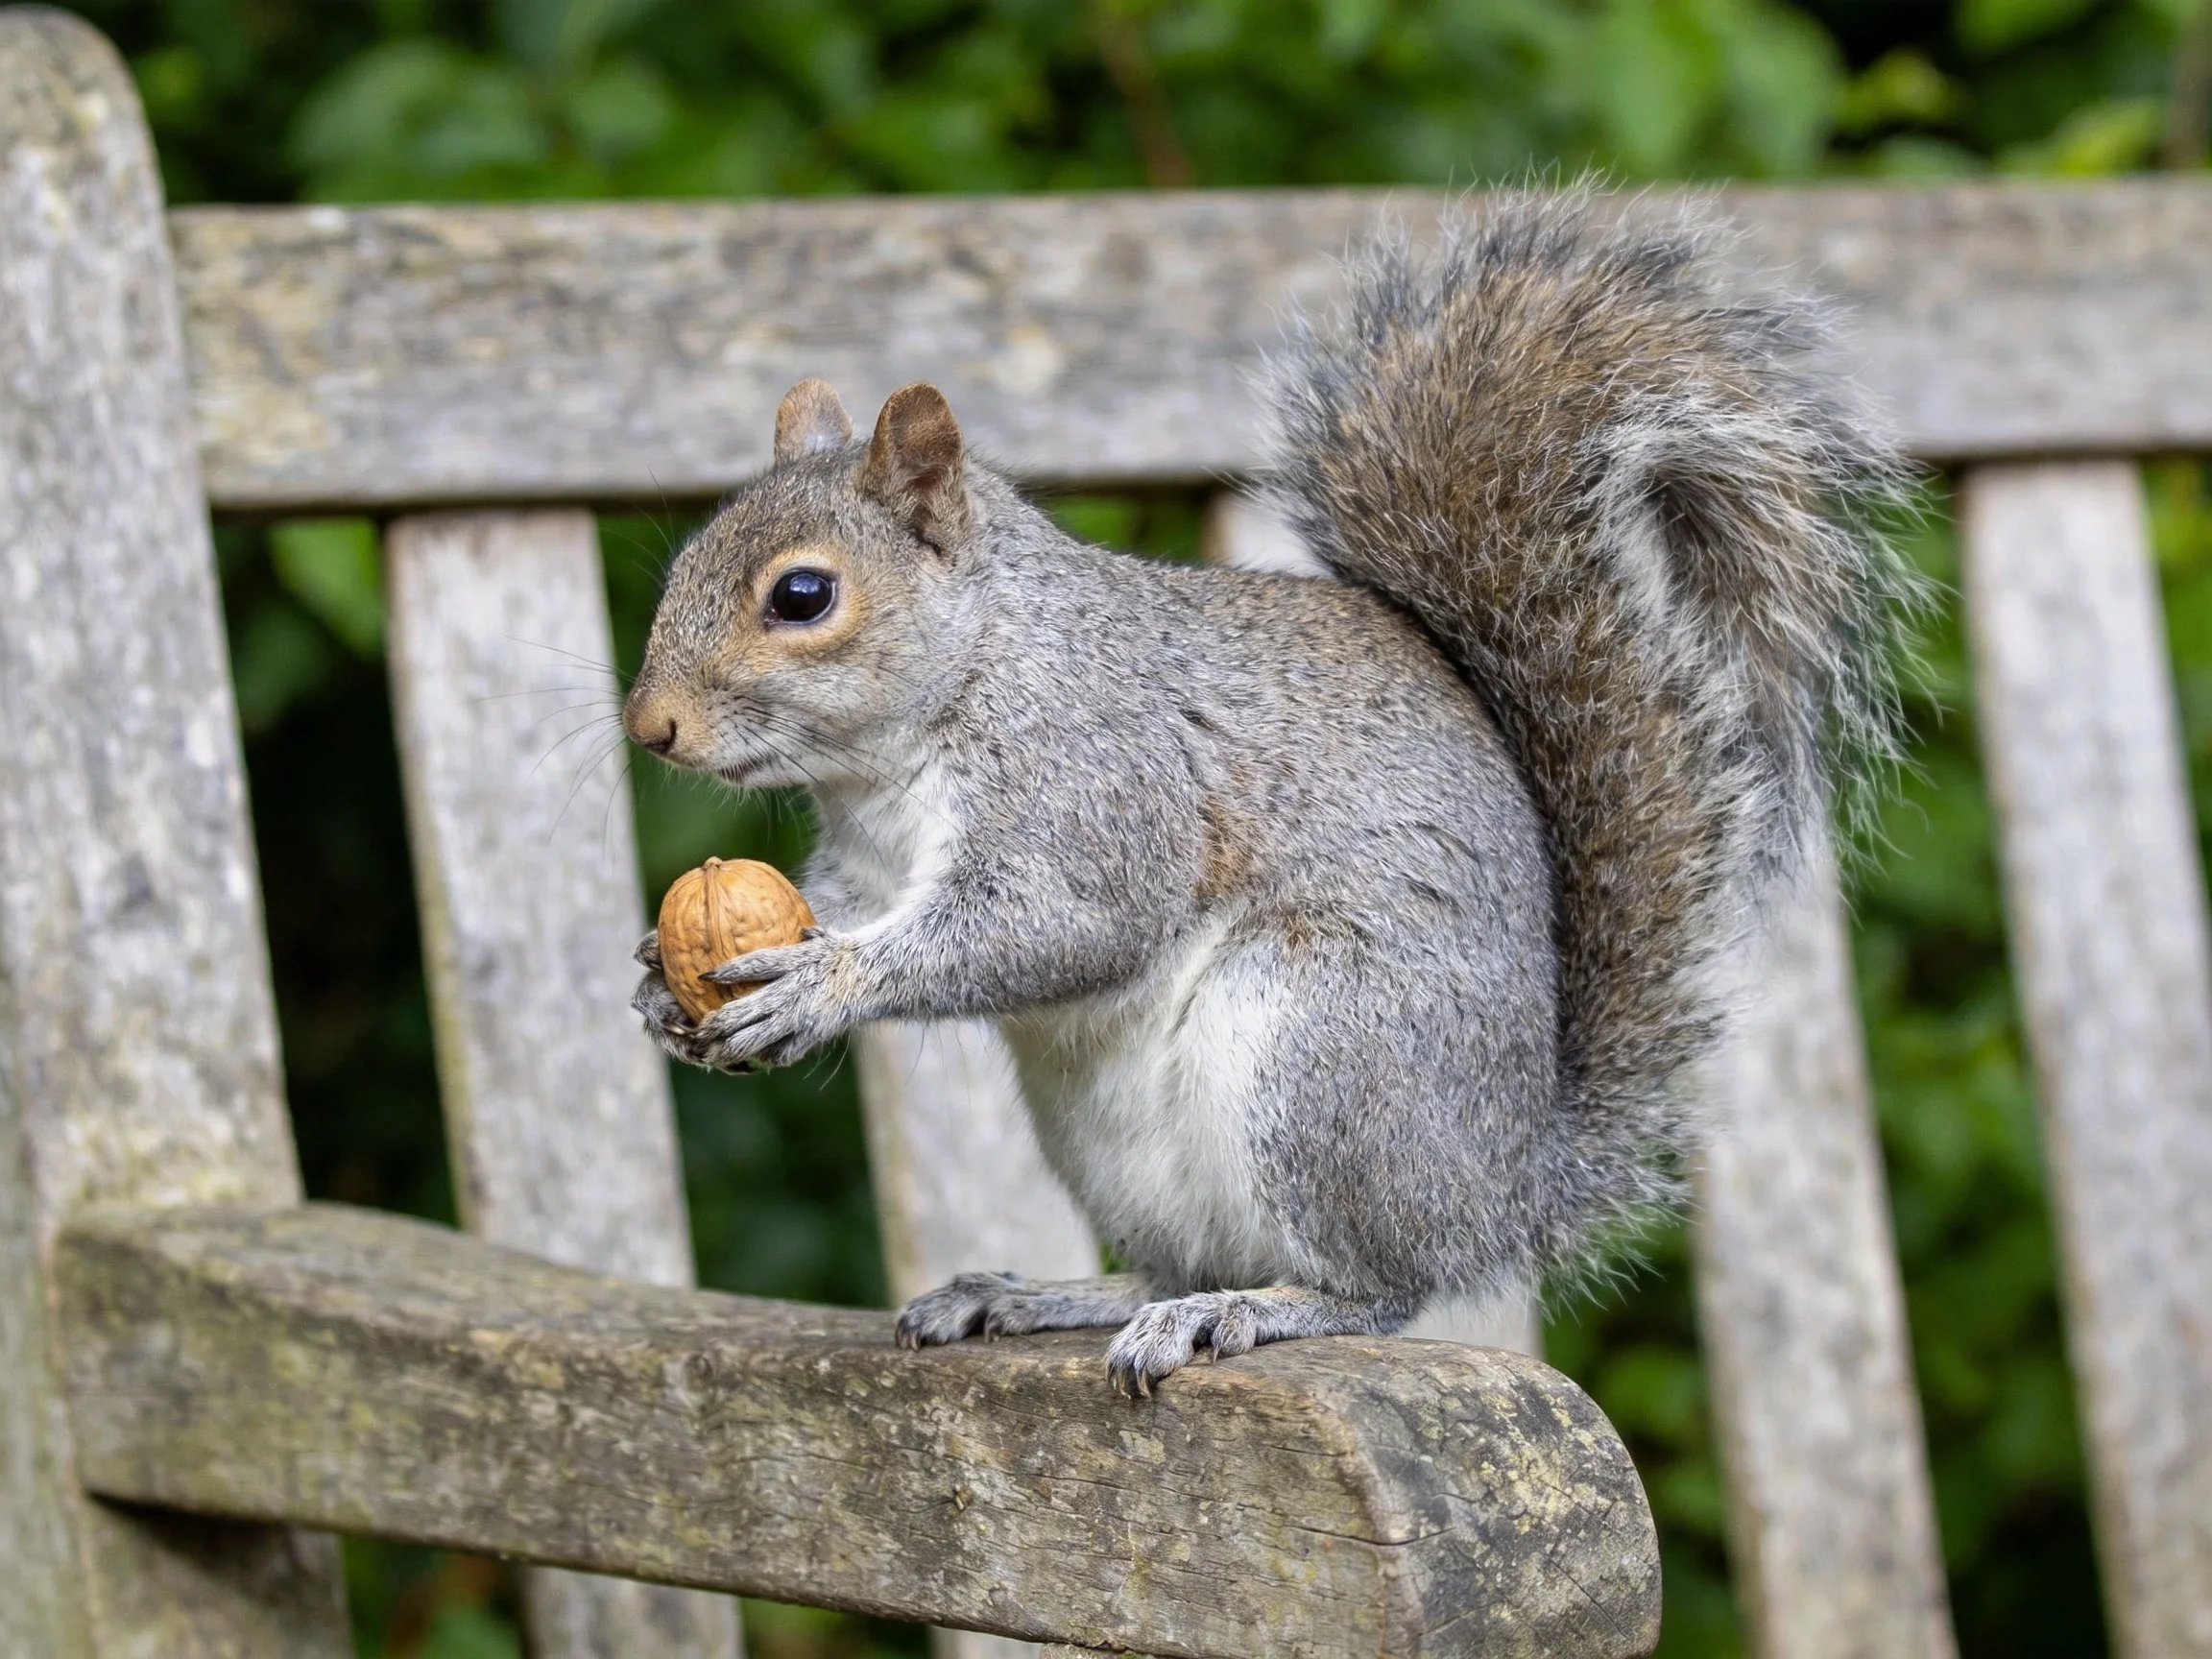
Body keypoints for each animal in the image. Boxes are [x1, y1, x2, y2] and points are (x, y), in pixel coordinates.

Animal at [623, 189, 1916, 1395]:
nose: (651, 728)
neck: (911, 738)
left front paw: (822, 986)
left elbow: (1064, 923)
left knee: (1375, 1288)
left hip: (1319, 1054)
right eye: (682, 564)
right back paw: (1044, 1295)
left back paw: (1247, 1310)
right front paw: (659, 982)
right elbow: (839, 904)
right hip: (1112, 1138)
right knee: (1172, 1258)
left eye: (802, 596)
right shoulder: (863, 859)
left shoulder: (1096, 778)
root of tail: (1508, 1186)